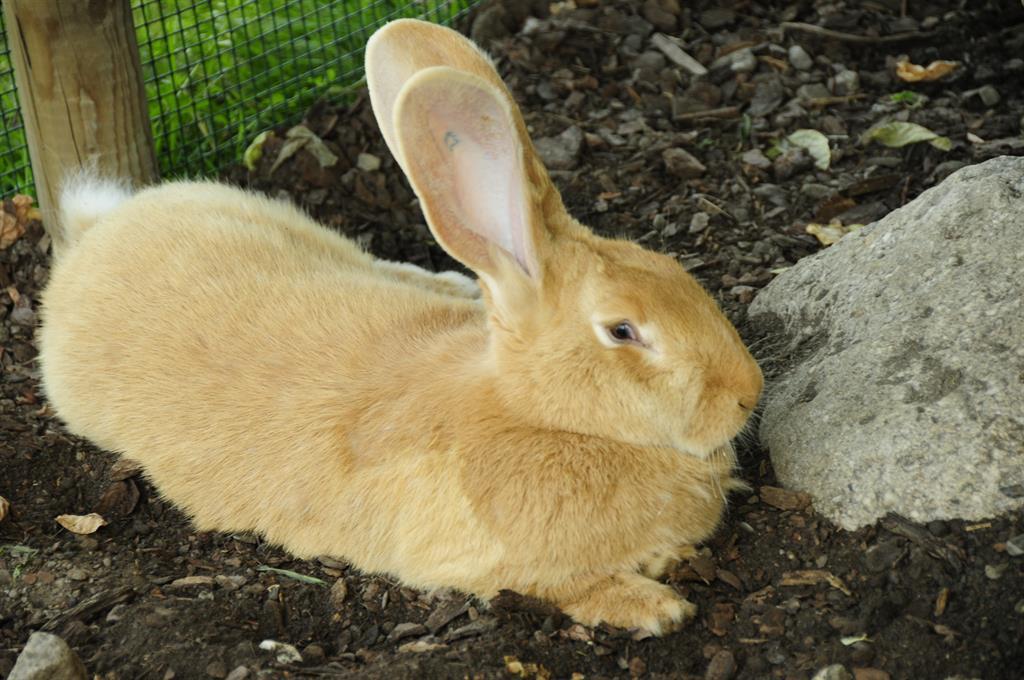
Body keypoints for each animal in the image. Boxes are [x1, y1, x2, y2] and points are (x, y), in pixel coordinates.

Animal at [36, 18, 763, 635]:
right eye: (622, 331)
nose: (747, 394)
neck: (539, 414)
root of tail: (93, 233)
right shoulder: (498, 569)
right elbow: (566, 585)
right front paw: (656, 606)